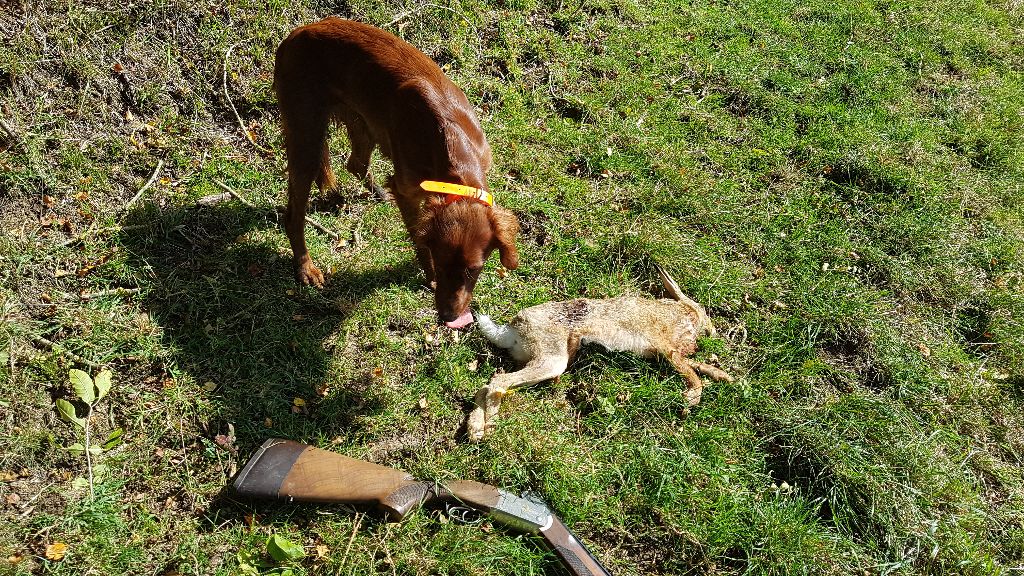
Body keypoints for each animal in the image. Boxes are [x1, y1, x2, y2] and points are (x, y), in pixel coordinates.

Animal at [274, 17, 520, 325]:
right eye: (441, 264)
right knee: (294, 216)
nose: (449, 316)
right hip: (306, 136)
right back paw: (306, 268)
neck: (452, 146)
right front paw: (429, 277)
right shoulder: (408, 192)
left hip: (363, 122)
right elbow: (418, 238)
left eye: (473, 270)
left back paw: (377, 191)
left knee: (355, 163)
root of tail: (296, 34)